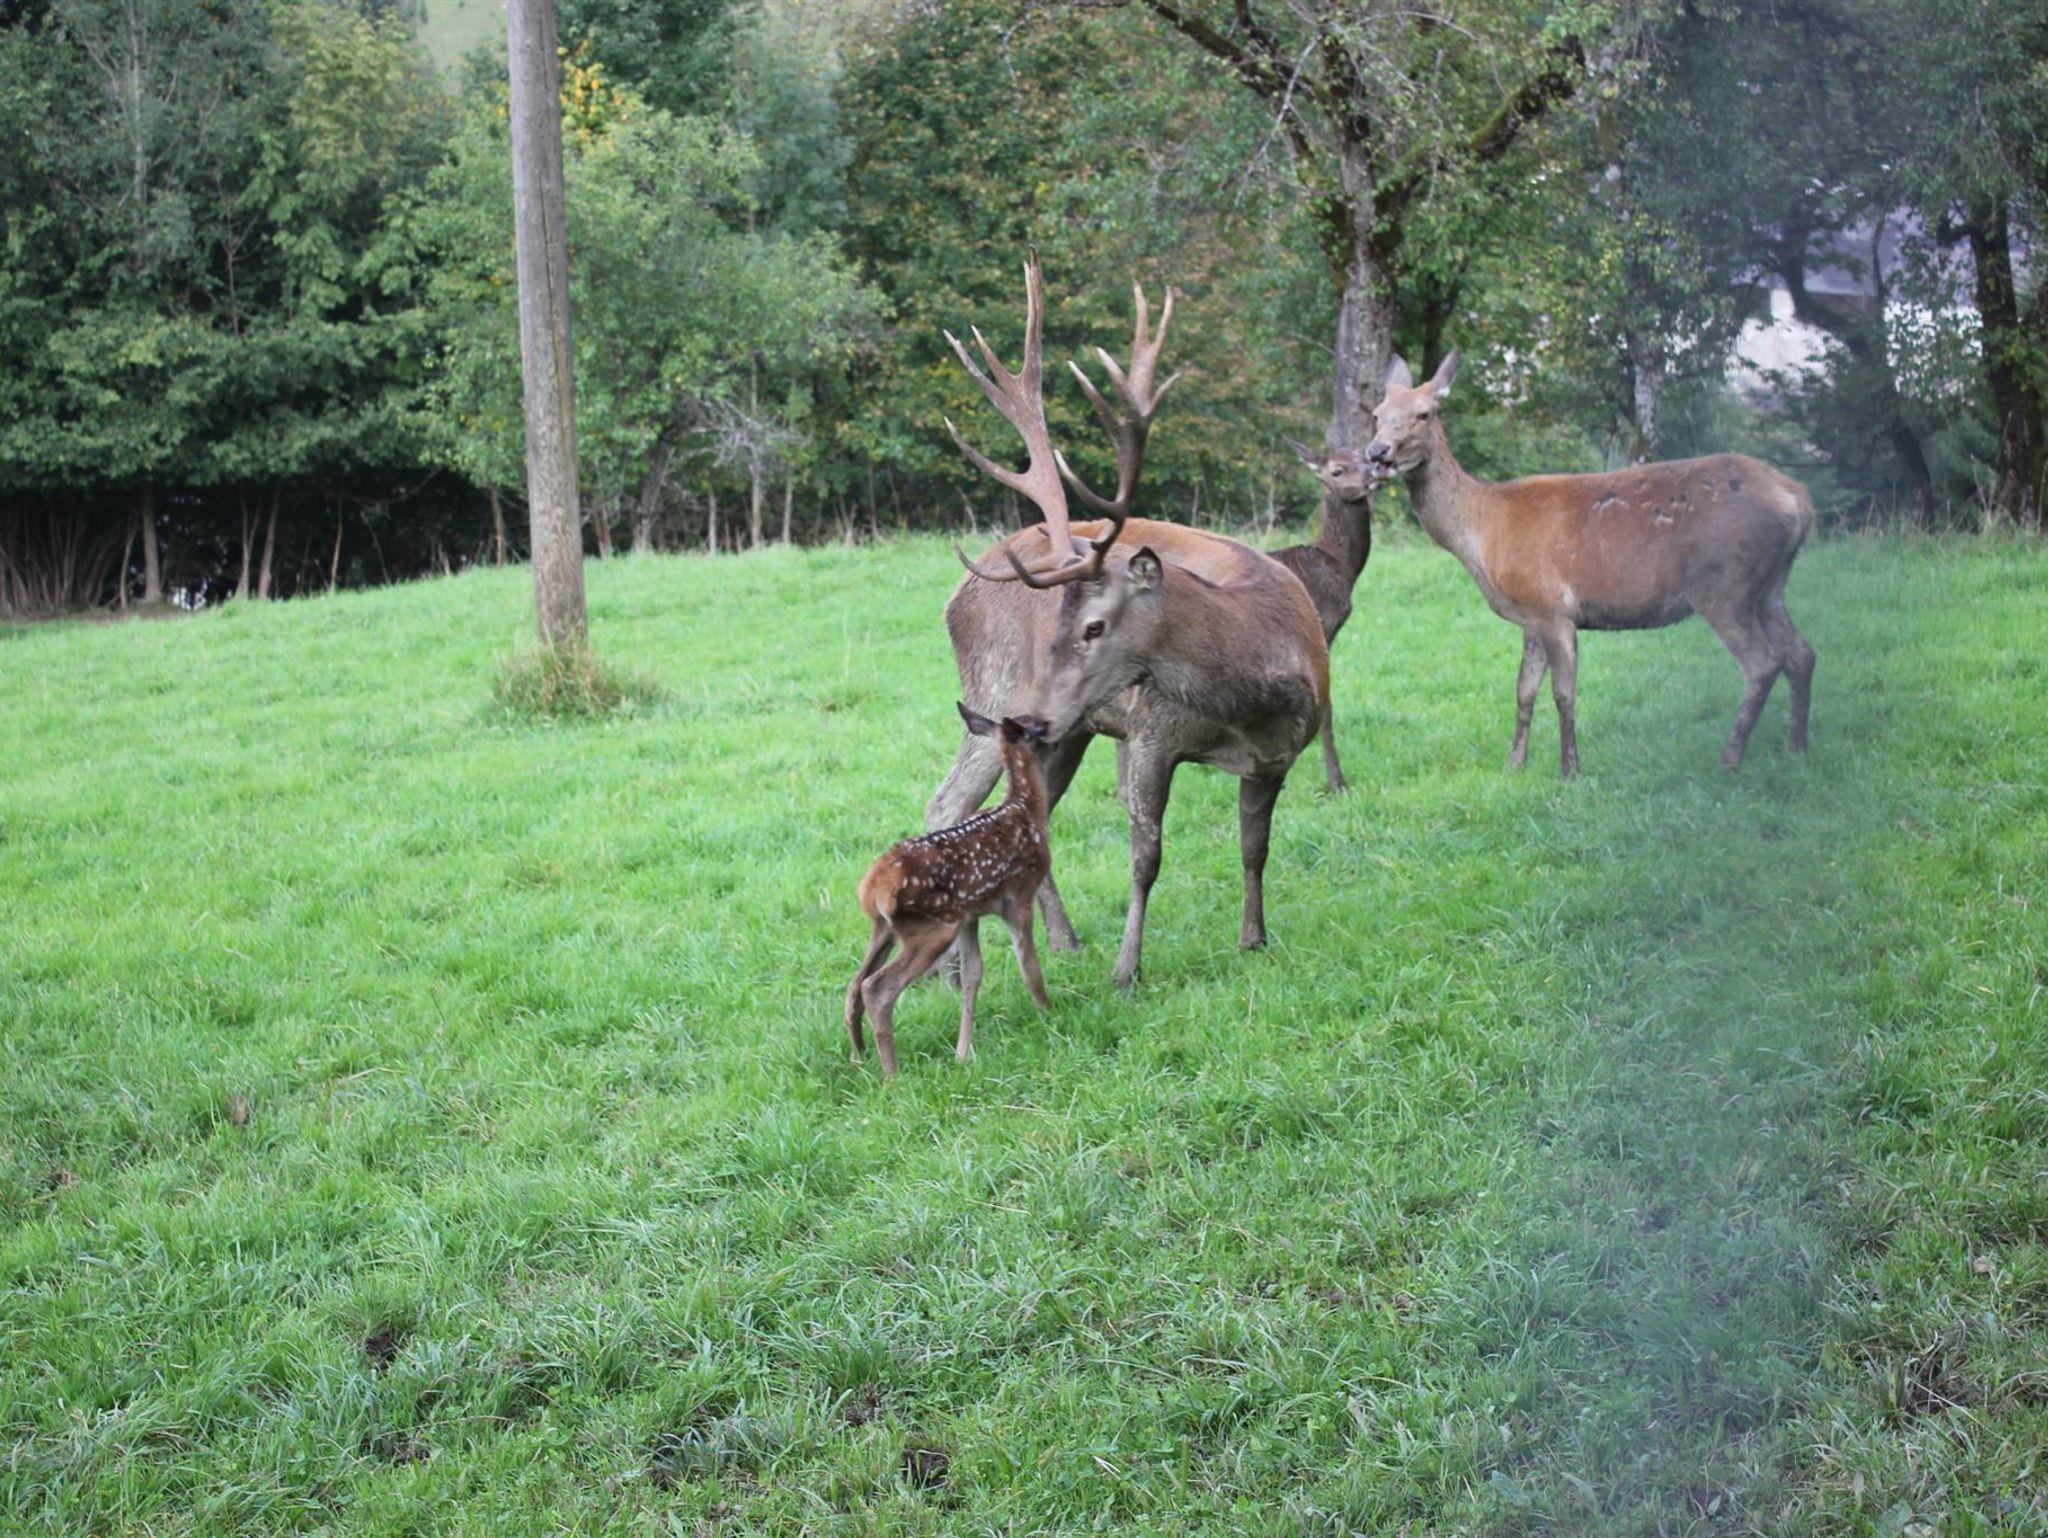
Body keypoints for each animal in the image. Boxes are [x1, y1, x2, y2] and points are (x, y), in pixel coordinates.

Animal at [847, 704, 1055, 1078]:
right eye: (1037, 726)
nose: (1054, 728)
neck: (1025, 809)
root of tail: (874, 887)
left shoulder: (971, 914)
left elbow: (973, 974)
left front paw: (962, 1053)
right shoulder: (1020, 893)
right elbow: (1029, 967)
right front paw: (1049, 1013)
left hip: (887, 928)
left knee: (855, 983)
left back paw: (858, 1058)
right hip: (931, 926)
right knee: (877, 988)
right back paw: (892, 1075)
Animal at [927, 254, 1329, 988]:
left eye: (1092, 627)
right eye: (1053, 627)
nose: (1034, 717)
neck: (1252, 702)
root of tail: (957, 594)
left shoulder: (1276, 758)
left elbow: (1255, 846)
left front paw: (1254, 938)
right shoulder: (1151, 733)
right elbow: (1146, 856)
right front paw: (1127, 969)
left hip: (1068, 730)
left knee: (1027, 815)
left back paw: (1062, 940)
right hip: (992, 689)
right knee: (948, 803)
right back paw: (954, 967)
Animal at [1366, 349, 1817, 778]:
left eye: (1424, 413)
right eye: (1376, 414)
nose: (1377, 453)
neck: (1482, 532)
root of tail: (1797, 499)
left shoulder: (1553, 608)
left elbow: (1563, 693)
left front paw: (1570, 770)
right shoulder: (1531, 614)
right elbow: (1523, 690)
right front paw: (1514, 766)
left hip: (1724, 583)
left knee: (1763, 663)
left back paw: (1730, 759)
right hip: (1770, 585)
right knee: (1802, 653)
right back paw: (1796, 747)